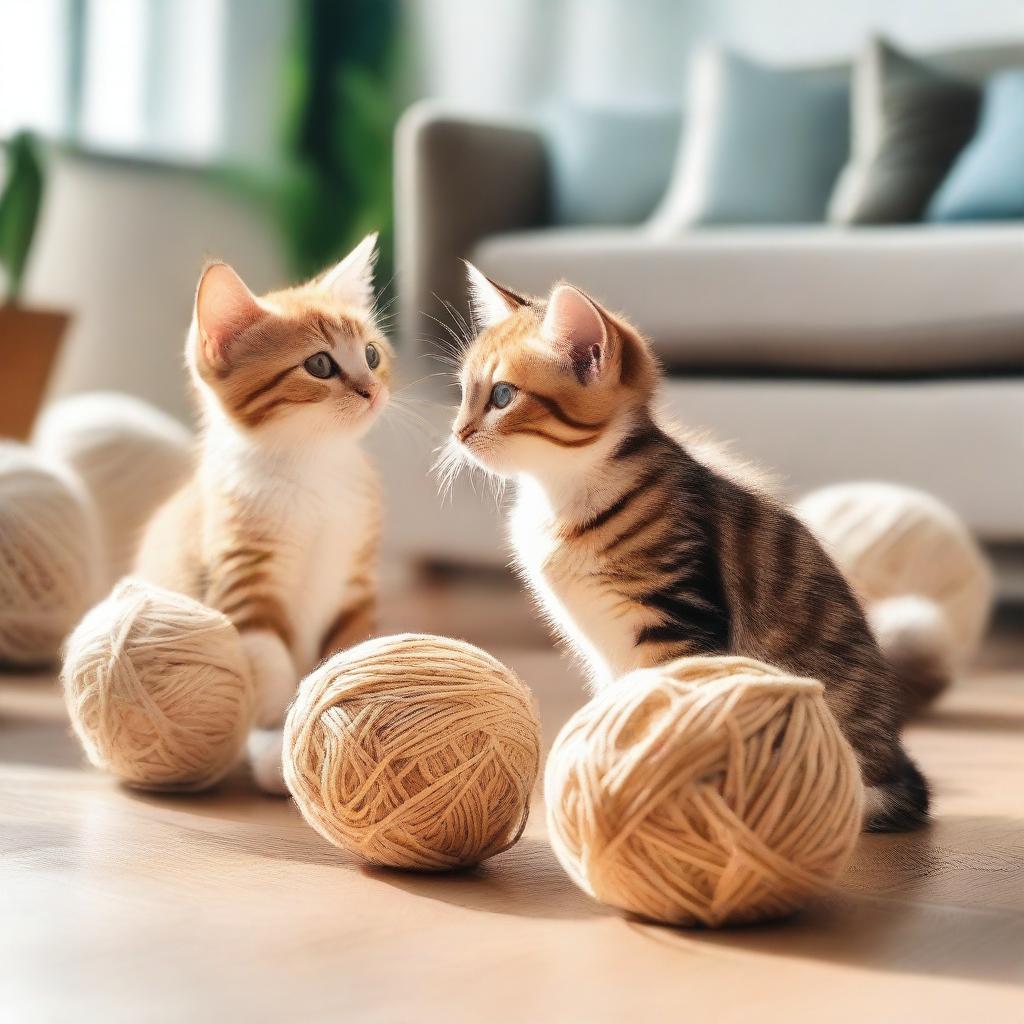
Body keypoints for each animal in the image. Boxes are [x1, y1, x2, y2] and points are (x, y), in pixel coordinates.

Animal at [136, 234, 391, 790]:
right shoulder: (240, 567)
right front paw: (279, 727)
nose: (371, 389)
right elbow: (266, 654)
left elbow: (349, 646)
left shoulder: (357, 576)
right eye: (319, 365)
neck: (314, 471)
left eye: (371, 353)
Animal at [444, 264, 933, 831]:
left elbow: (665, 710)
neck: (561, 497)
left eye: (502, 395)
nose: (457, 432)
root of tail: (901, 769)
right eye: (464, 392)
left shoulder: (676, 616)